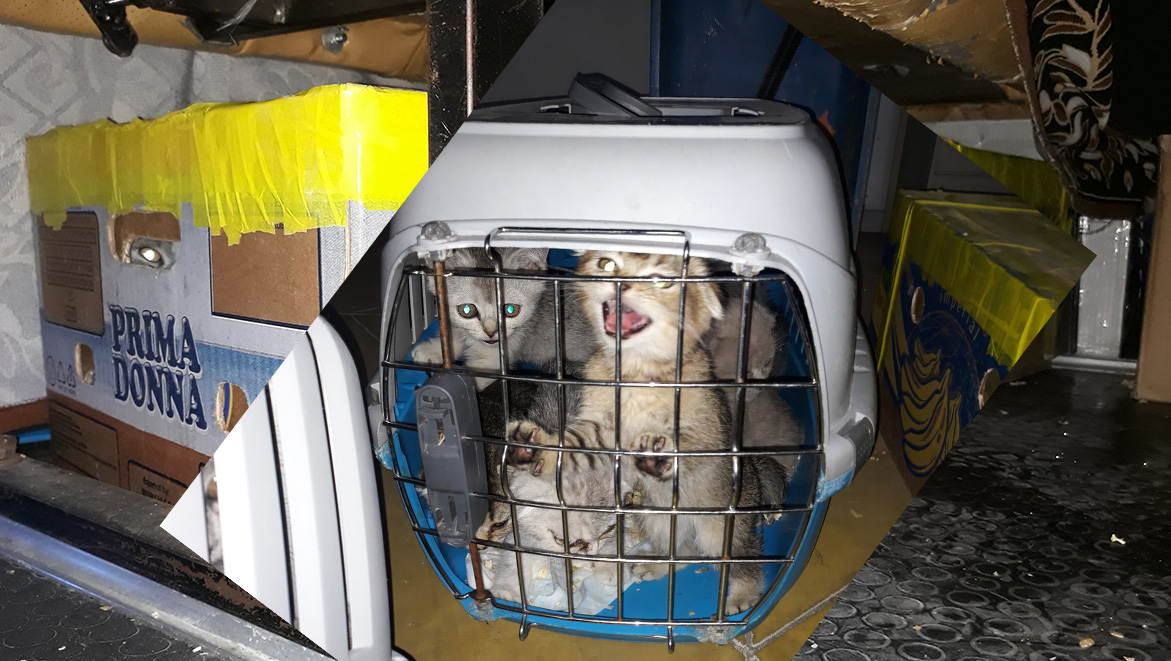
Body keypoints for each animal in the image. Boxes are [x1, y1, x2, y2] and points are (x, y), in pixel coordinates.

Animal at [409, 247, 595, 390]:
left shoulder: (494, 360)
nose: (491, 332)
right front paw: (432, 351)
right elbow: (455, 335)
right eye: (467, 310)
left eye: (511, 310)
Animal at [503, 251, 785, 616]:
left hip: (719, 527)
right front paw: (534, 447)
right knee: (684, 551)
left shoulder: (700, 423)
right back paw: (655, 564)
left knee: (742, 560)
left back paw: (742, 597)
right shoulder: (598, 426)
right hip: (658, 519)